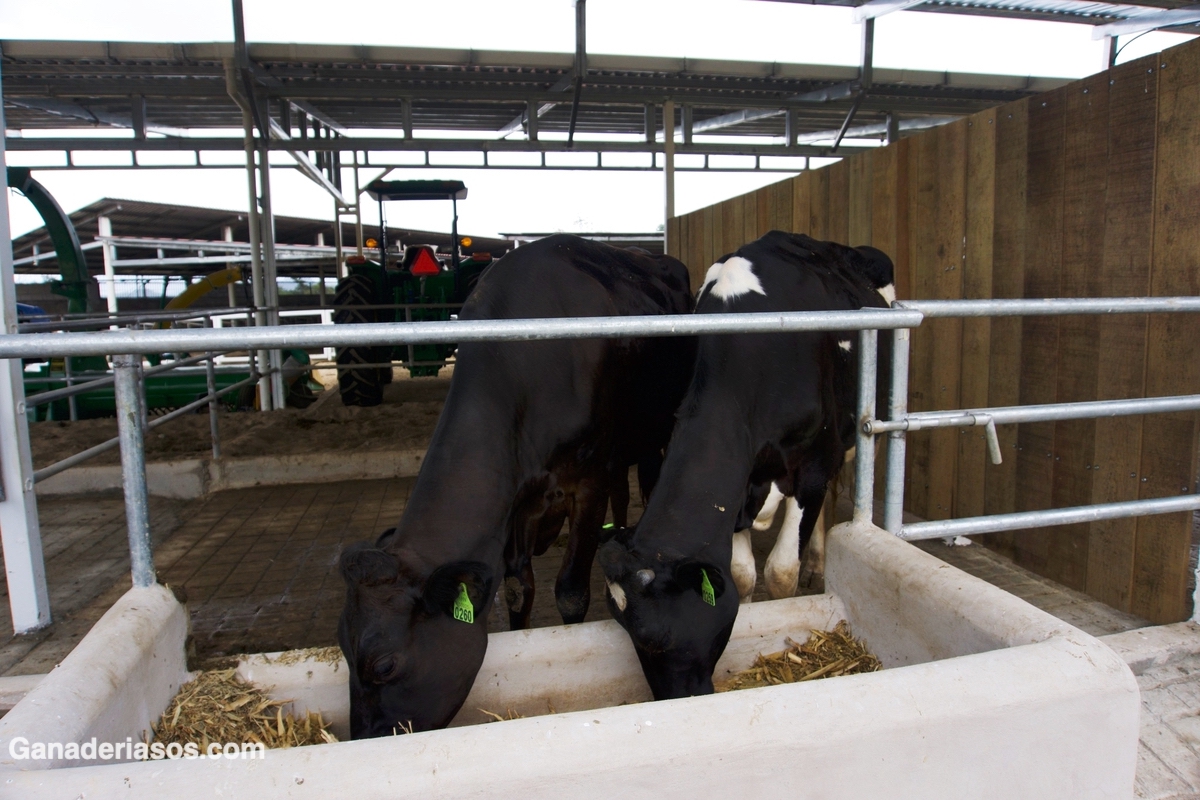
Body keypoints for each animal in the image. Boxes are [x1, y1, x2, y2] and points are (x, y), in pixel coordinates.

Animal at [338, 236, 696, 738]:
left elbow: (570, 590)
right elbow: (517, 589)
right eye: (342, 653)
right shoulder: (518, 503)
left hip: (654, 431)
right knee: (623, 494)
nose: (360, 738)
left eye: (384, 665)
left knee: (645, 483)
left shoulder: (587, 482)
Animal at [600, 227, 892, 695]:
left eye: (654, 636)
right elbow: (741, 575)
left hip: (858, 437)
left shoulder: (812, 465)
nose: (675, 699)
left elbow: (781, 572)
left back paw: (818, 560)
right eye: (623, 628)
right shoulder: (740, 484)